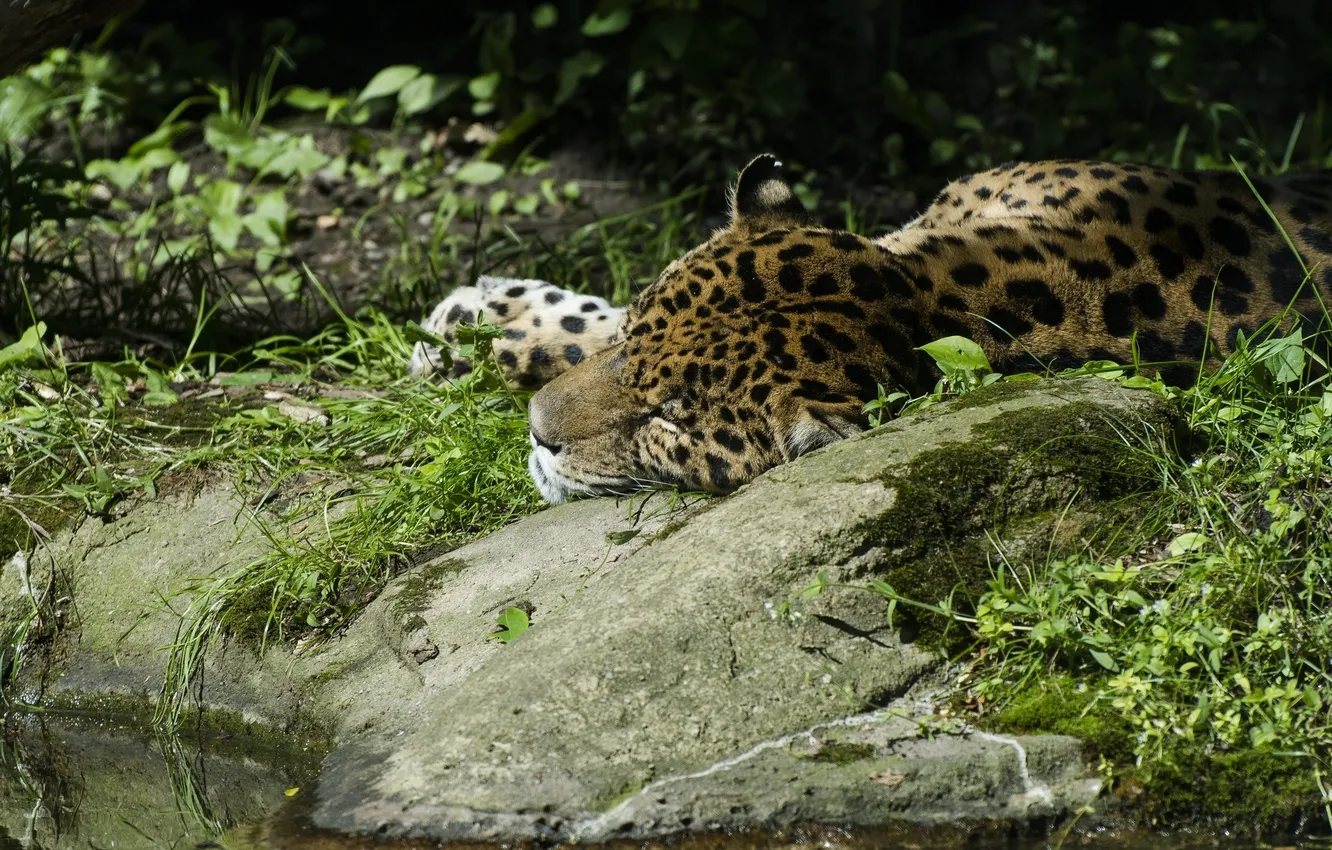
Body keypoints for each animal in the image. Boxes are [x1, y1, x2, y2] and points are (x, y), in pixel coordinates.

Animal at [418, 154, 1332, 504]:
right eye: (641, 326)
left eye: (670, 422)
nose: (537, 435)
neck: (931, 294)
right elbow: (589, 325)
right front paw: (473, 320)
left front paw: (469, 329)